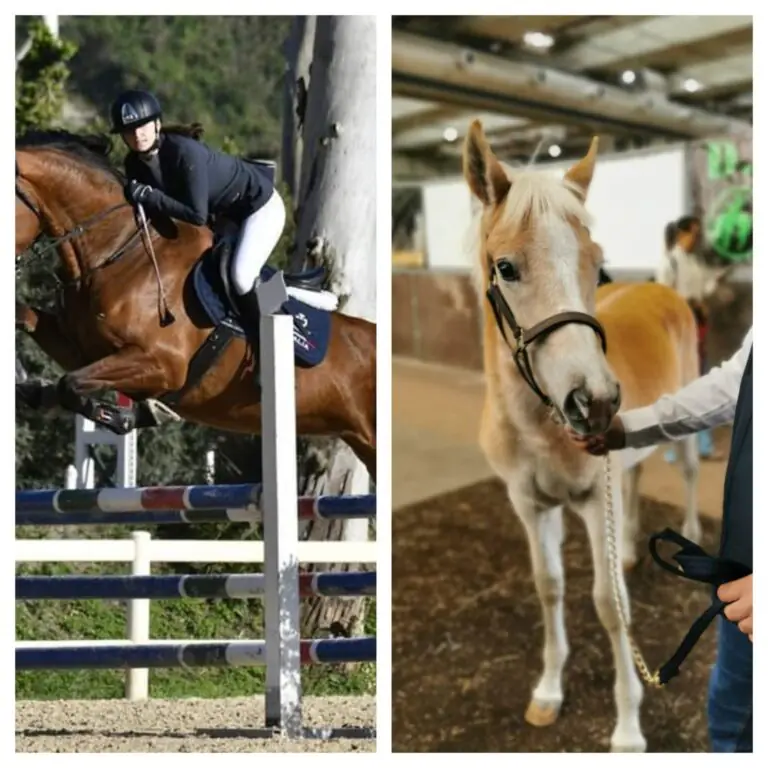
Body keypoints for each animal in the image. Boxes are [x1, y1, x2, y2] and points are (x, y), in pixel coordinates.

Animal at [15, 130, 376, 479]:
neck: (117, 255)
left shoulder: (162, 364)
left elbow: (70, 384)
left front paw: (137, 415)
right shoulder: (84, 351)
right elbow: (31, 326)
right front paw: (30, 385)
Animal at [462, 120, 700, 752]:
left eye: (596, 262)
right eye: (506, 268)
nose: (594, 402)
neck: (537, 425)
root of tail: (664, 292)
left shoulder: (594, 499)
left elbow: (609, 605)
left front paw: (628, 727)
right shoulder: (529, 503)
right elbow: (550, 586)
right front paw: (548, 691)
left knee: (688, 473)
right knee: (636, 479)